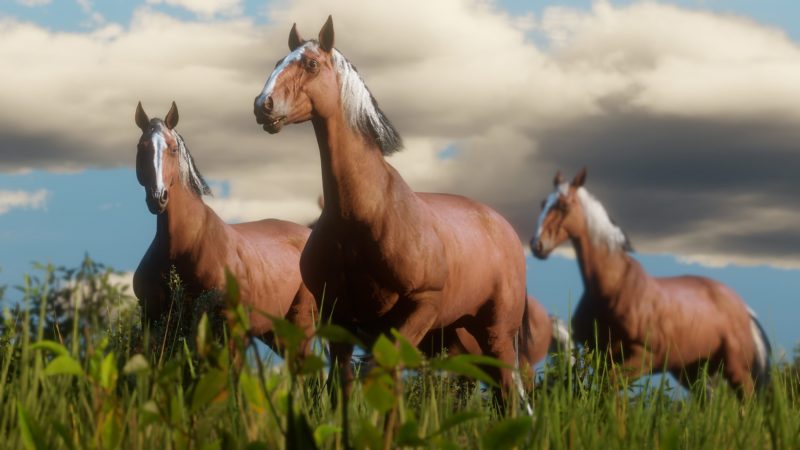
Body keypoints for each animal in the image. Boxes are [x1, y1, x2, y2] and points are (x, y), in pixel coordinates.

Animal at [132, 102, 317, 356]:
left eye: (173, 149)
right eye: (141, 147)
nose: (157, 198)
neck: (183, 245)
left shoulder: (229, 327)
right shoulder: (155, 322)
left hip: (301, 327)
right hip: (275, 333)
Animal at [252, 17, 528, 407]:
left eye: (311, 64)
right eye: (279, 61)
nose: (264, 105)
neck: (363, 216)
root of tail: (503, 227)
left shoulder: (420, 307)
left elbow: (377, 375)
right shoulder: (339, 318)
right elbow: (344, 387)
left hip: (496, 334)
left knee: (508, 392)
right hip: (458, 334)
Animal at [530, 168, 771, 395]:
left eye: (563, 206)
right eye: (542, 203)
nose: (537, 245)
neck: (612, 288)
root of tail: (745, 311)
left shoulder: (642, 358)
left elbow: (609, 390)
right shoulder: (603, 358)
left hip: (736, 369)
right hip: (691, 371)